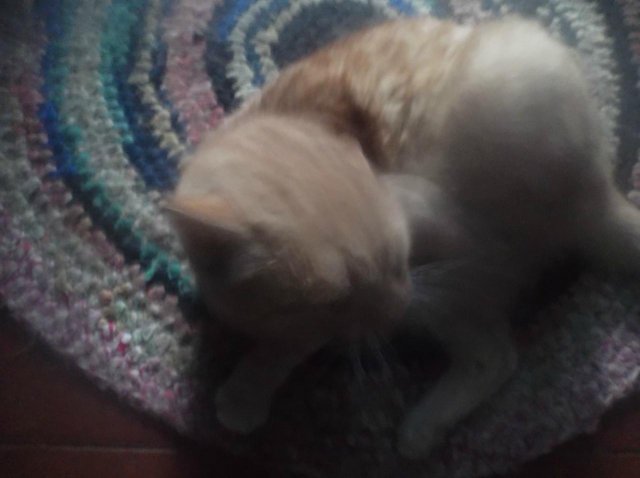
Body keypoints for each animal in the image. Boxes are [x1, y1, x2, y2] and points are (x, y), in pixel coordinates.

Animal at [168, 16, 640, 459]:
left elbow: (294, 343)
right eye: (335, 299)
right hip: (455, 295)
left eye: (396, 260)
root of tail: (598, 191)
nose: (397, 304)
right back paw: (424, 427)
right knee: (493, 354)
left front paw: (248, 387)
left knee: (494, 347)